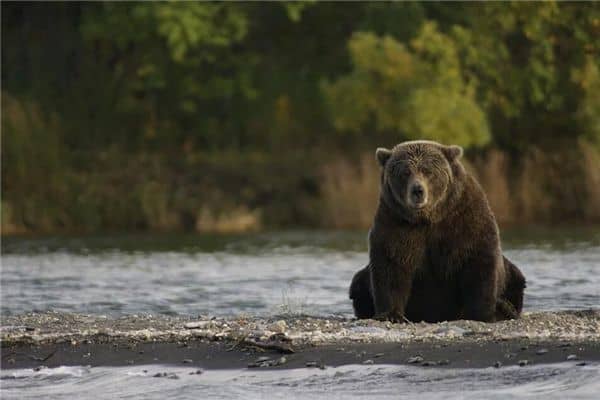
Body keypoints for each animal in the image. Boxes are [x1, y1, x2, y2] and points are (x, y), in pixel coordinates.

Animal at [346, 141, 524, 322]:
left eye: (428, 171)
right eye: (405, 172)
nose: (417, 191)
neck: (428, 217)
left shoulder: (465, 219)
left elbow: (478, 263)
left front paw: (481, 314)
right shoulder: (395, 222)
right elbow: (391, 266)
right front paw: (391, 315)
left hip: (511, 276)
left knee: (516, 279)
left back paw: (504, 308)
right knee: (358, 283)